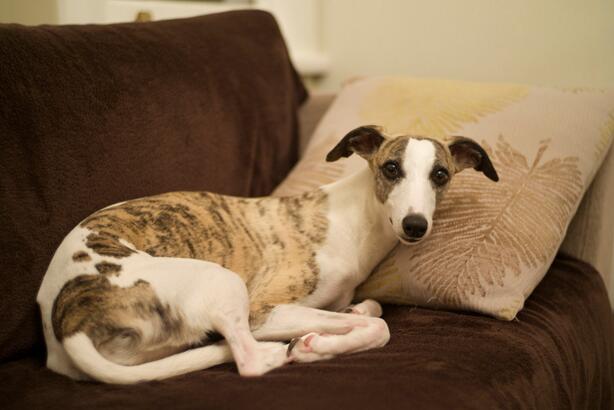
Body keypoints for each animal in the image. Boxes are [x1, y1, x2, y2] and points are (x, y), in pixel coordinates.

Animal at [37, 126, 498, 384]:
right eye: (391, 169)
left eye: (440, 174)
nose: (415, 225)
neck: (354, 219)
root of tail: (69, 321)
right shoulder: (265, 308)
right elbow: (380, 328)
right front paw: (314, 346)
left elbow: (372, 308)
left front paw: (346, 320)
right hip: (224, 282)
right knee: (249, 361)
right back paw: (279, 351)